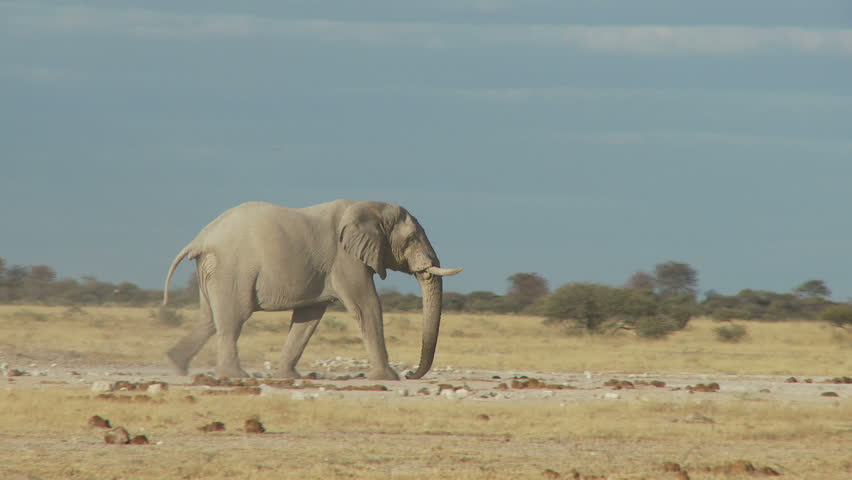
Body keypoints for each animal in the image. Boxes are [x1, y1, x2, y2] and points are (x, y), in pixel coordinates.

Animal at [162, 200, 462, 380]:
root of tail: (200, 239)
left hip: (212, 270)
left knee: (209, 319)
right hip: (231, 269)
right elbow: (367, 306)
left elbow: (309, 317)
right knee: (233, 319)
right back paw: (235, 376)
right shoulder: (344, 259)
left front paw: (288, 377)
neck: (368, 206)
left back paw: (176, 365)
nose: (411, 373)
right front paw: (389, 378)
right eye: (411, 239)